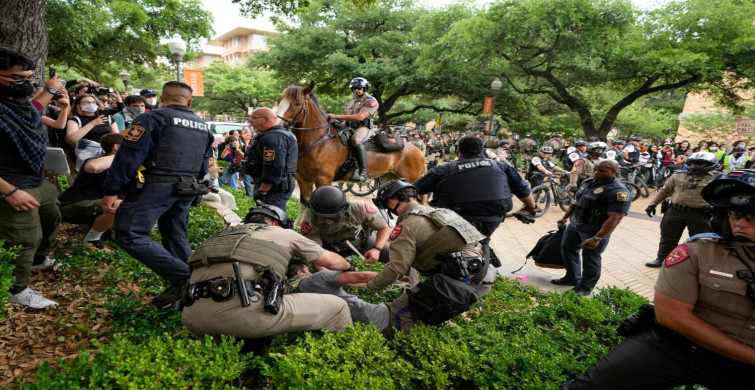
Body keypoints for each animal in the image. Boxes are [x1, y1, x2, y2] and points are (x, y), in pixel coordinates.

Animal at [274, 81, 426, 206]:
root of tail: (419, 151)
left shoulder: (323, 180)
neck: (319, 141)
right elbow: (305, 207)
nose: (277, 124)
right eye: (279, 101)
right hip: (391, 177)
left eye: (297, 103)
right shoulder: (304, 179)